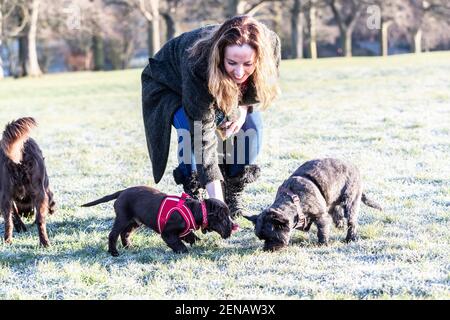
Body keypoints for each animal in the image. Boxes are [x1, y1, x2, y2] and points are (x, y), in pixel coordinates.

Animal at [0, 117, 55, 245]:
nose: (27, 215)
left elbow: (14, 214)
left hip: (5, 194)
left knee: (8, 221)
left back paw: (8, 240)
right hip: (40, 193)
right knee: (40, 220)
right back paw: (45, 242)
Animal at [81, 186, 236, 256]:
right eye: (224, 219)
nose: (233, 226)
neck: (195, 210)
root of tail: (122, 192)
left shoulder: (185, 232)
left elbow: (192, 237)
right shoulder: (168, 233)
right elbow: (178, 244)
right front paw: (184, 251)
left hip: (134, 222)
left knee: (124, 234)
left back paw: (128, 247)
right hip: (122, 218)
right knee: (113, 235)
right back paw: (113, 252)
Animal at [246, 159, 384, 251]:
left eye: (271, 237)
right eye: (261, 238)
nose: (266, 249)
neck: (294, 200)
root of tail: (355, 168)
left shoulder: (321, 216)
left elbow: (322, 230)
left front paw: (322, 243)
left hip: (350, 201)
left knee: (351, 220)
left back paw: (350, 238)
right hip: (332, 198)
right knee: (336, 211)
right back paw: (339, 224)